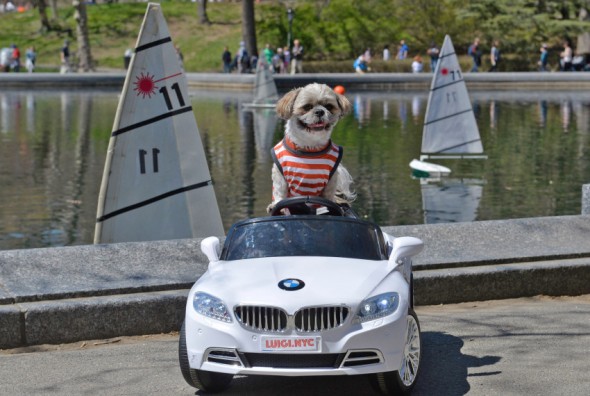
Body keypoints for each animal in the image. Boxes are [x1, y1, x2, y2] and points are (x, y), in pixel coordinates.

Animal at [270, 83, 356, 213]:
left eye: (329, 106)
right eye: (307, 107)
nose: (320, 111)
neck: (309, 147)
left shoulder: (331, 180)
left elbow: (329, 195)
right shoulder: (280, 175)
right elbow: (280, 191)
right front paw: (276, 205)